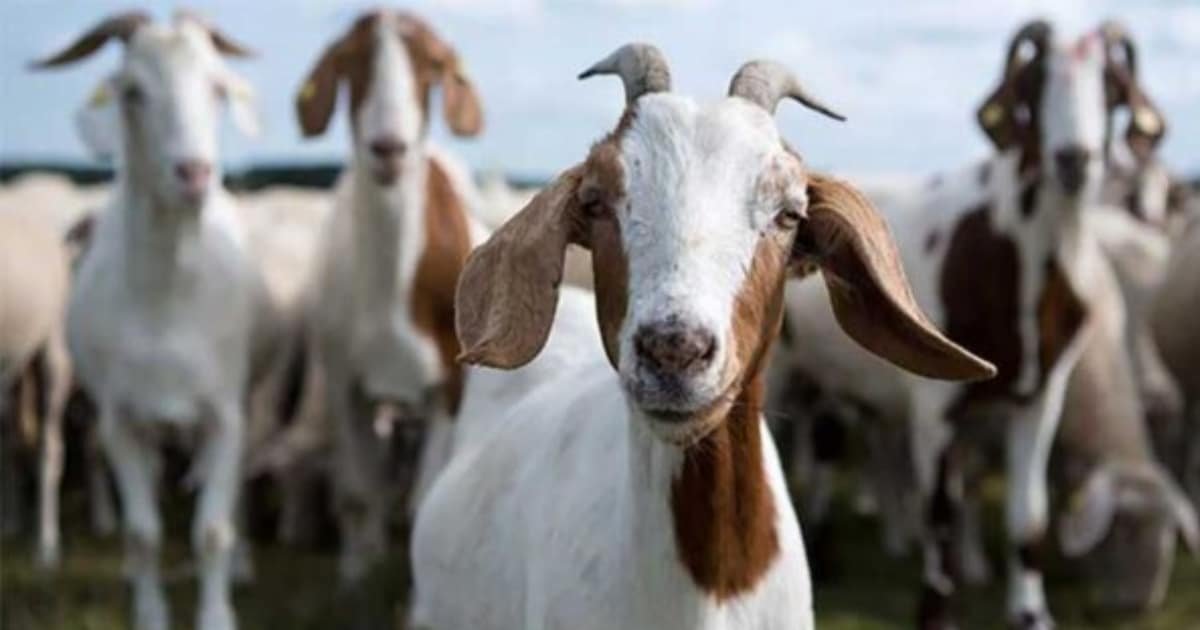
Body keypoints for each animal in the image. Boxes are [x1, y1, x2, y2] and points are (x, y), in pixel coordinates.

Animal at [32, 11, 270, 630]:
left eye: (216, 88)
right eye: (133, 91)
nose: (194, 173)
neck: (169, 299)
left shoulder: (225, 415)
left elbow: (211, 529)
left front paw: (217, 613)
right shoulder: (121, 420)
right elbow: (143, 532)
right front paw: (151, 612)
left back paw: (244, 564)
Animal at [287, 8, 486, 583]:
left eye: (434, 64)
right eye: (348, 60)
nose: (388, 148)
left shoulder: (449, 387)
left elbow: (426, 501)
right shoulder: (344, 382)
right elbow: (357, 492)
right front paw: (356, 575)